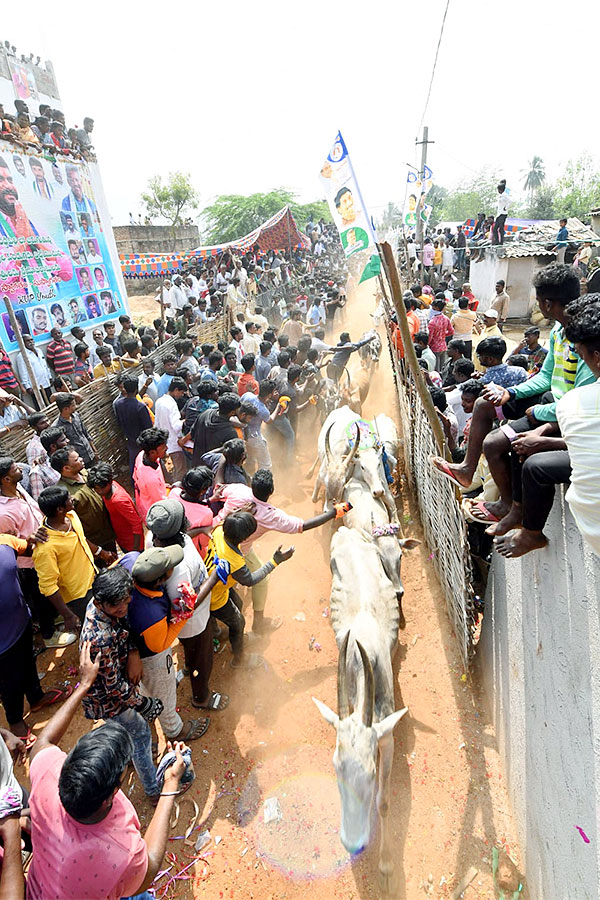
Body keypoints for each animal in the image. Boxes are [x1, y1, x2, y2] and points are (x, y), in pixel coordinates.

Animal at [314, 528, 408, 892]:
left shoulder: (387, 738)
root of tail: (347, 529)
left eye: (370, 773)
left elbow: (383, 801)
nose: (352, 842)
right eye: (335, 767)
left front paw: (386, 864)